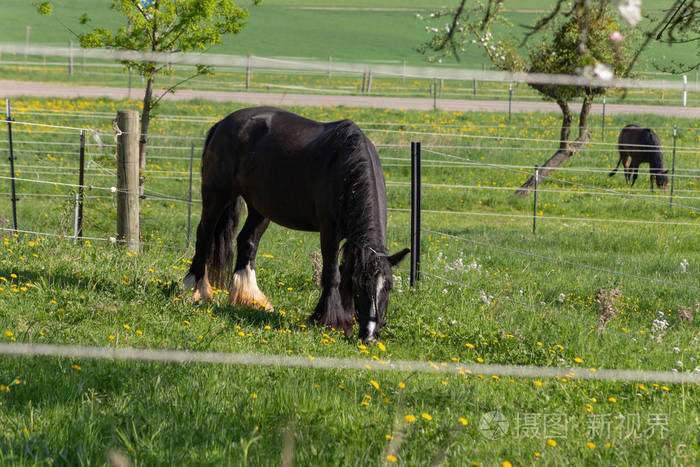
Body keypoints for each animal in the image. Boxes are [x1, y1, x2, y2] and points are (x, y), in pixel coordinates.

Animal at [183, 108, 410, 346]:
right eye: (361, 287)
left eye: (388, 286)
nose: (370, 335)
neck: (346, 166)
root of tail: (222, 123)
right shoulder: (329, 231)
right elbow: (333, 274)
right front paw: (329, 320)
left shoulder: (352, 240)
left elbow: (346, 271)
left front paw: (346, 319)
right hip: (216, 195)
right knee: (204, 234)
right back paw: (195, 289)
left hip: (260, 207)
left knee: (247, 242)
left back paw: (249, 297)